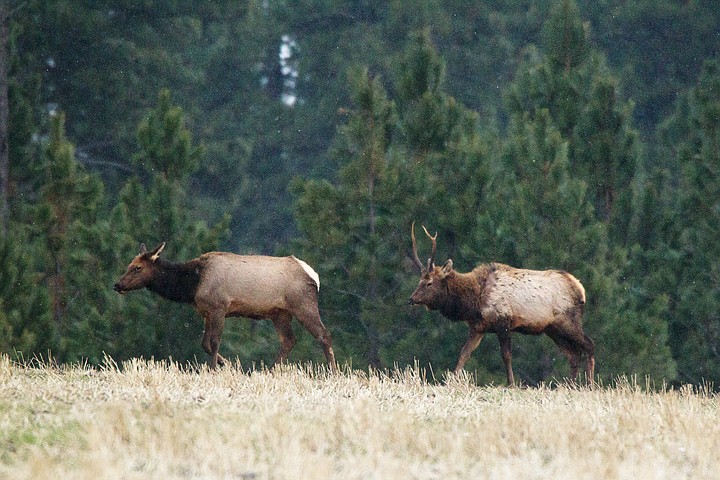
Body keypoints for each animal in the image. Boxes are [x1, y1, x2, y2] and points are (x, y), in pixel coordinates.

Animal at [113, 242, 338, 370]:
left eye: (137, 267)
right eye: (128, 265)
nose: (117, 285)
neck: (192, 284)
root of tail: (314, 276)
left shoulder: (219, 307)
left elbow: (214, 342)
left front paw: (213, 369)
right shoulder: (206, 312)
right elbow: (204, 343)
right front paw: (228, 365)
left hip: (302, 304)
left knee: (324, 334)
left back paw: (332, 372)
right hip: (279, 313)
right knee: (289, 340)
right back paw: (269, 371)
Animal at [408, 223, 592, 384]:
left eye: (429, 283)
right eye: (419, 281)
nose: (411, 299)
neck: (474, 302)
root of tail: (580, 288)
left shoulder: (503, 321)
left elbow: (506, 355)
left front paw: (511, 383)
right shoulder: (478, 327)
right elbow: (464, 353)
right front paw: (450, 382)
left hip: (569, 321)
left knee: (589, 346)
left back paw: (589, 385)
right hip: (553, 329)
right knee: (574, 354)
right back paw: (569, 385)